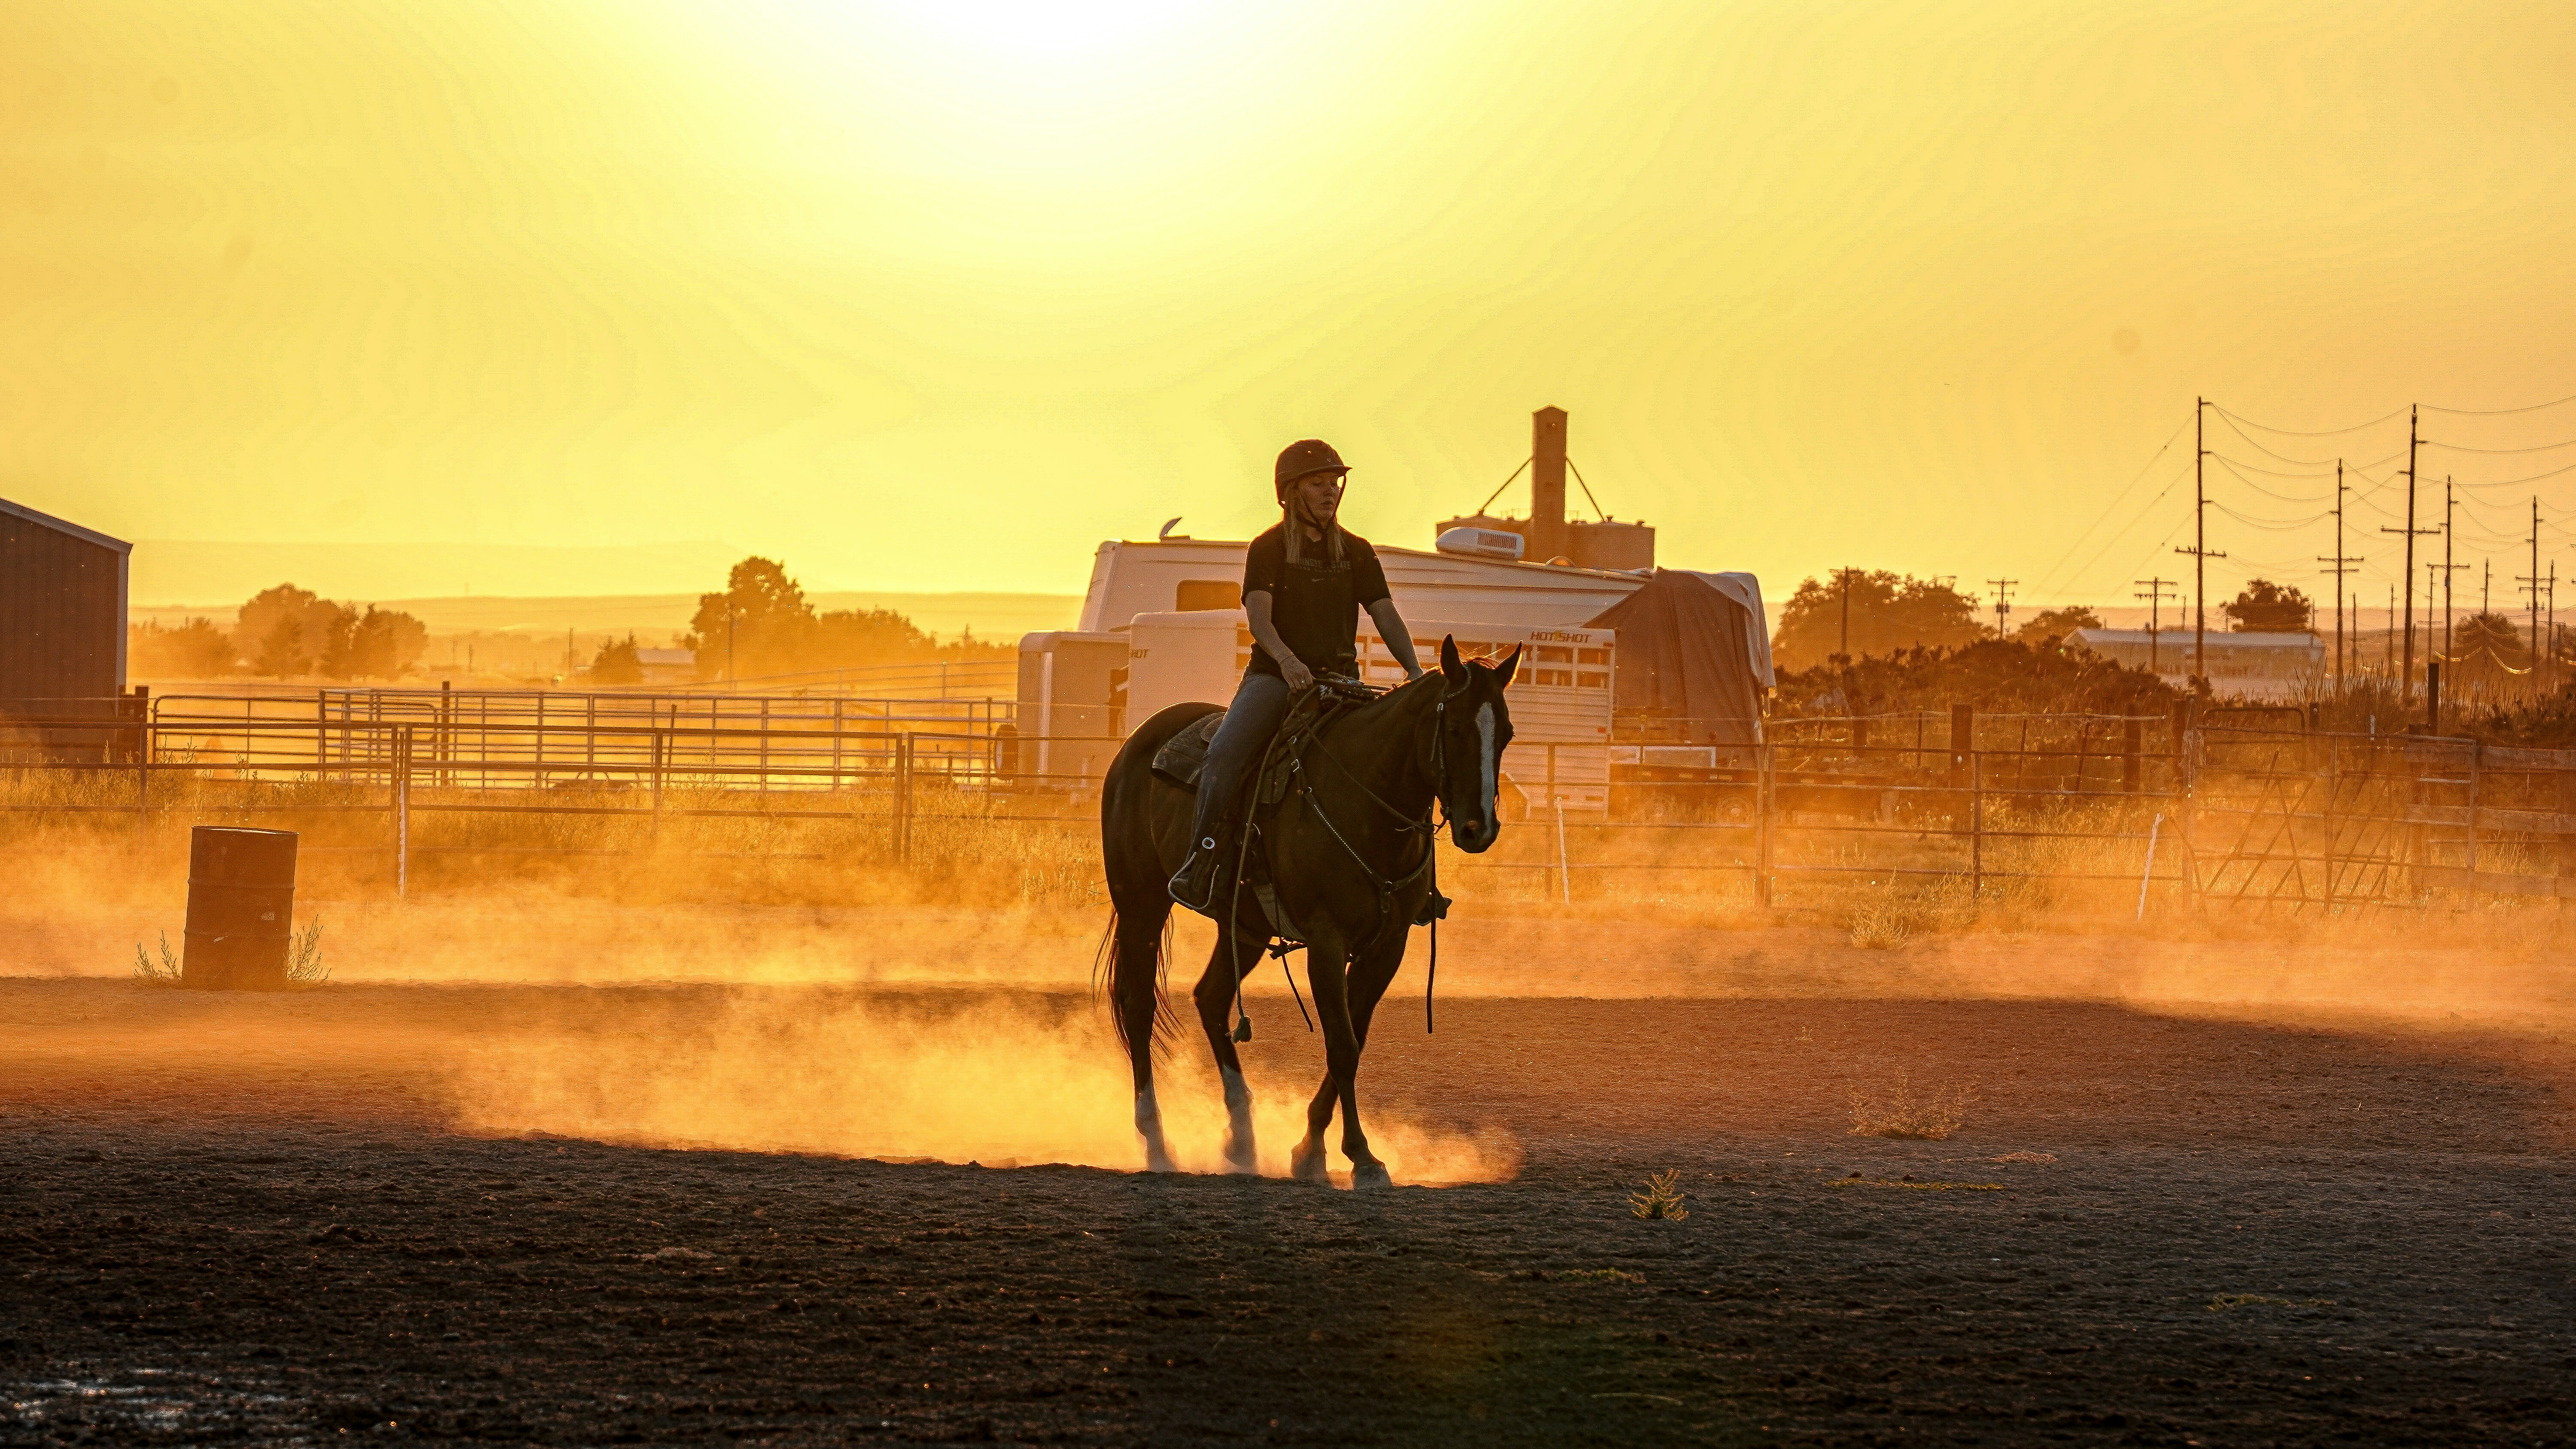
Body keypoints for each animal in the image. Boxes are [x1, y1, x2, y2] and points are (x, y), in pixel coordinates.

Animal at [1097, 635, 1520, 1189]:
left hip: (1244, 927)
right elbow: (1341, 1045)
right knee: (1140, 1006)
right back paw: (1157, 1141)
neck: (1366, 798)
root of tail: (1136, 744)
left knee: (1211, 999)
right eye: (1454, 729)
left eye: (1506, 732)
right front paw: (1360, 1156)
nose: (1479, 828)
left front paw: (1310, 1148)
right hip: (1141, 905)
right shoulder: (1326, 940)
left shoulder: (1387, 945)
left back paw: (1242, 1139)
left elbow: (1355, 1040)